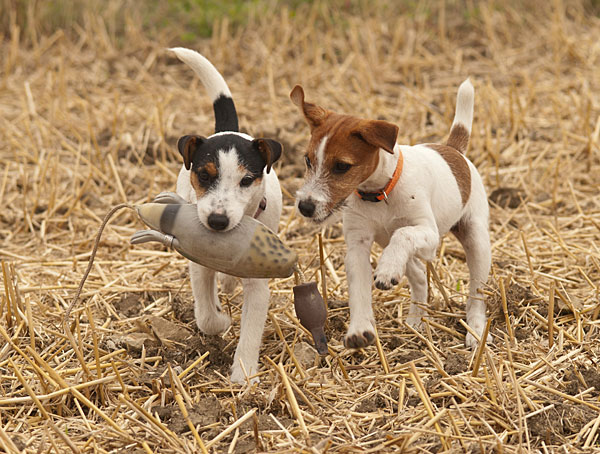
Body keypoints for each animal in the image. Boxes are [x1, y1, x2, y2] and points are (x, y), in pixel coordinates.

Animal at [168, 48, 282, 382]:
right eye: (205, 176)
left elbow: (252, 327)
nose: (217, 221)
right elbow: (206, 314)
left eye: (246, 180)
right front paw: (220, 320)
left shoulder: (258, 284)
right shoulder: (198, 265)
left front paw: (244, 375)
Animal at [290, 80, 492, 348]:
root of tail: (453, 149)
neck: (379, 192)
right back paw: (416, 320)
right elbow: (359, 291)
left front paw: (386, 271)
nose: (305, 206)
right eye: (307, 160)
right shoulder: (357, 246)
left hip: (475, 240)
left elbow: (403, 234)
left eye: (342, 166)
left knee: (476, 293)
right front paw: (359, 329)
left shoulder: (428, 232)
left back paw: (476, 330)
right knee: (418, 275)